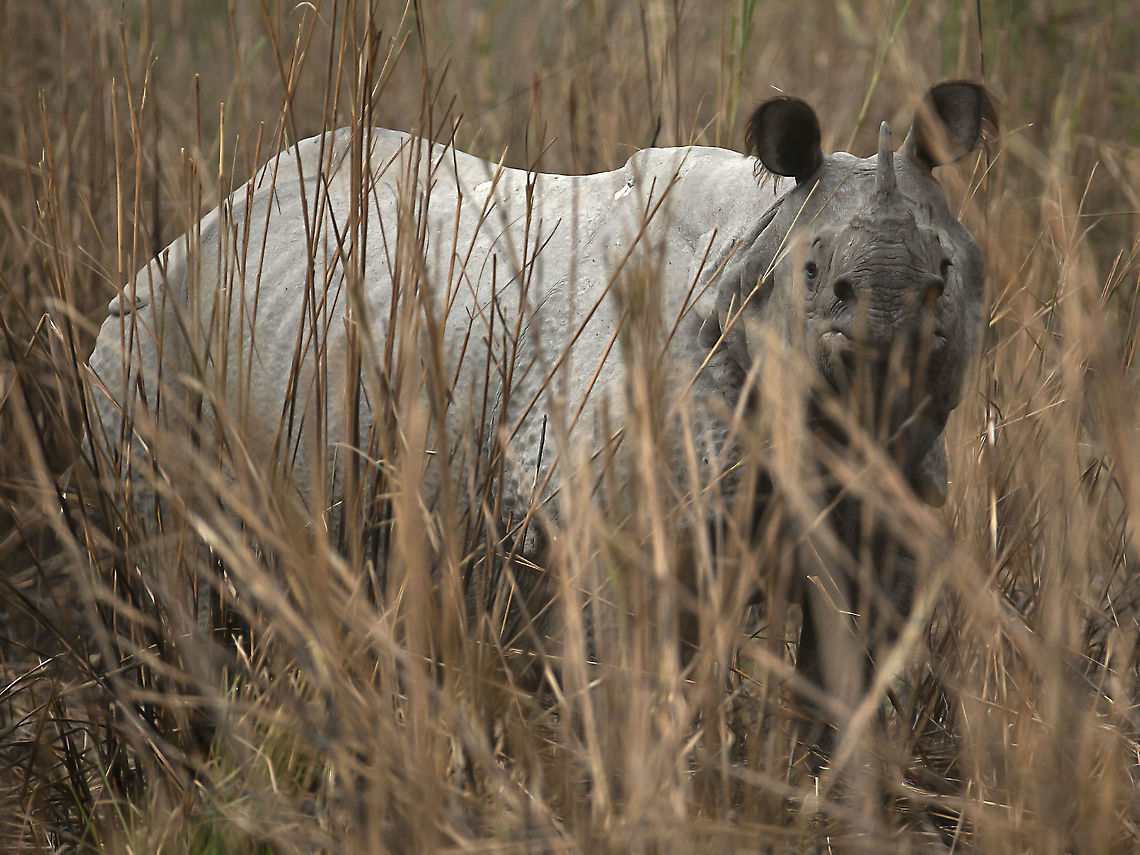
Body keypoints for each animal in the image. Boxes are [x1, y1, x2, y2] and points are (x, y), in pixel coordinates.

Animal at [86, 81, 995, 763]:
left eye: (946, 273)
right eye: (816, 277)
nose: (888, 323)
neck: (759, 235)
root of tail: (195, 228)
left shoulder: (887, 506)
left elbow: (855, 677)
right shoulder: (622, 514)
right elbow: (628, 677)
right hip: (146, 341)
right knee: (169, 566)